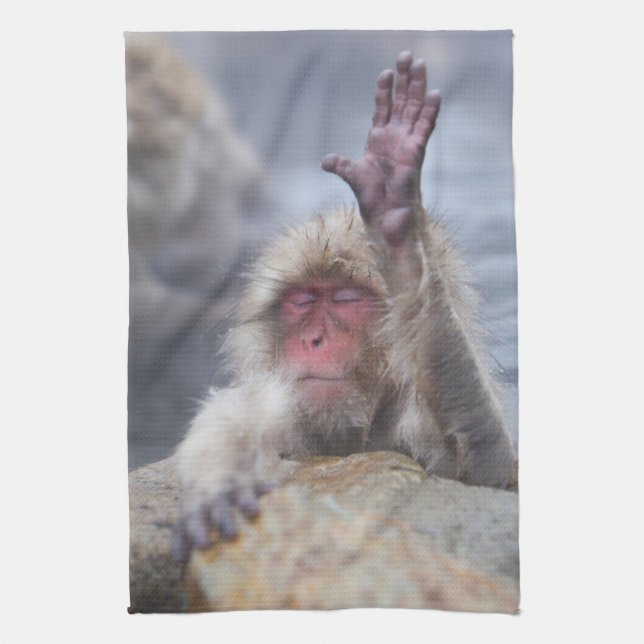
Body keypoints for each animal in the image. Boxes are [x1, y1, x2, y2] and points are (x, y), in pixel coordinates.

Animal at [171, 51, 516, 561]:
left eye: (347, 298)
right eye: (302, 301)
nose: (315, 338)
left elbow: (488, 470)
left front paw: (402, 243)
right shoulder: (284, 411)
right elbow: (236, 415)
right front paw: (222, 484)